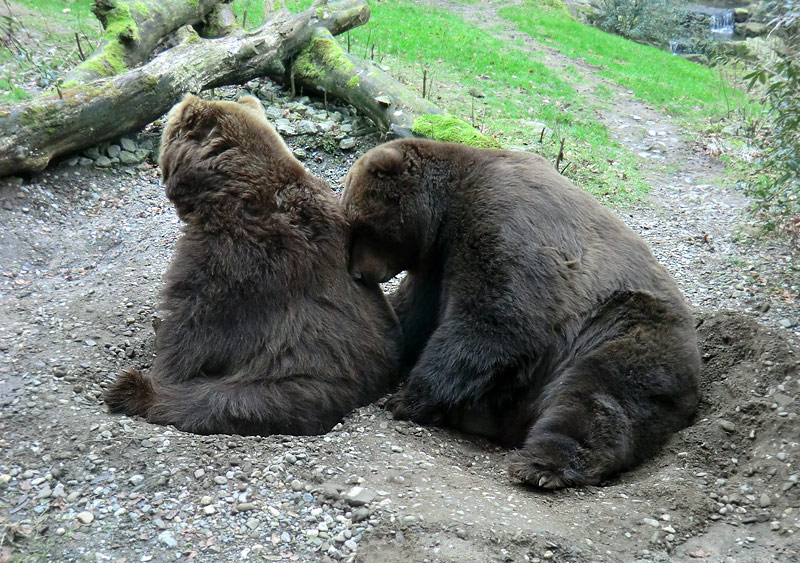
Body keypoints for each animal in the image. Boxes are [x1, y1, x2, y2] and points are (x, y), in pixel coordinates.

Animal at [105, 94, 404, 436]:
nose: (179, 101)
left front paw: (160, 364)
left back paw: (131, 390)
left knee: (218, 401)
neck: (223, 190)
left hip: (293, 379)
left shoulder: (240, 257)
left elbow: (195, 325)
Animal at [342, 140, 700, 490]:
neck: (447, 212)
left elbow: (499, 322)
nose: (359, 272)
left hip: (623, 326)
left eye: (360, 226)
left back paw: (541, 465)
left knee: (598, 393)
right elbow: (414, 317)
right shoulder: (436, 265)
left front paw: (406, 399)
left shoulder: (505, 225)